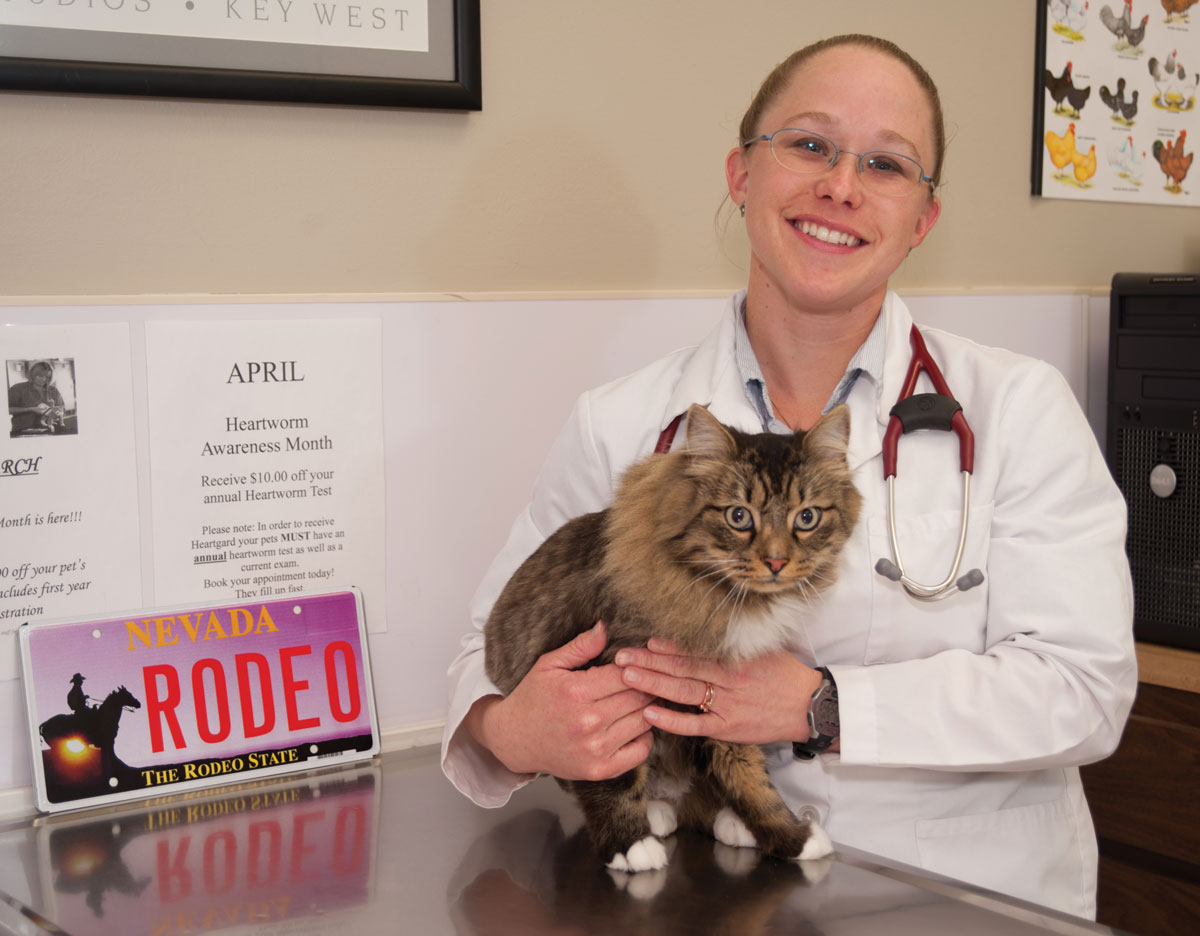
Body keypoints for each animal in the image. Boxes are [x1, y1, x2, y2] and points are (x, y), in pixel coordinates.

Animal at [487, 405, 864, 873]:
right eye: (739, 517)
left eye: (807, 518)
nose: (776, 562)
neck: (727, 598)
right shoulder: (606, 682)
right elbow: (613, 776)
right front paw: (628, 843)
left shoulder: (720, 707)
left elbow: (747, 774)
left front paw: (790, 837)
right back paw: (655, 815)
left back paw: (725, 821)